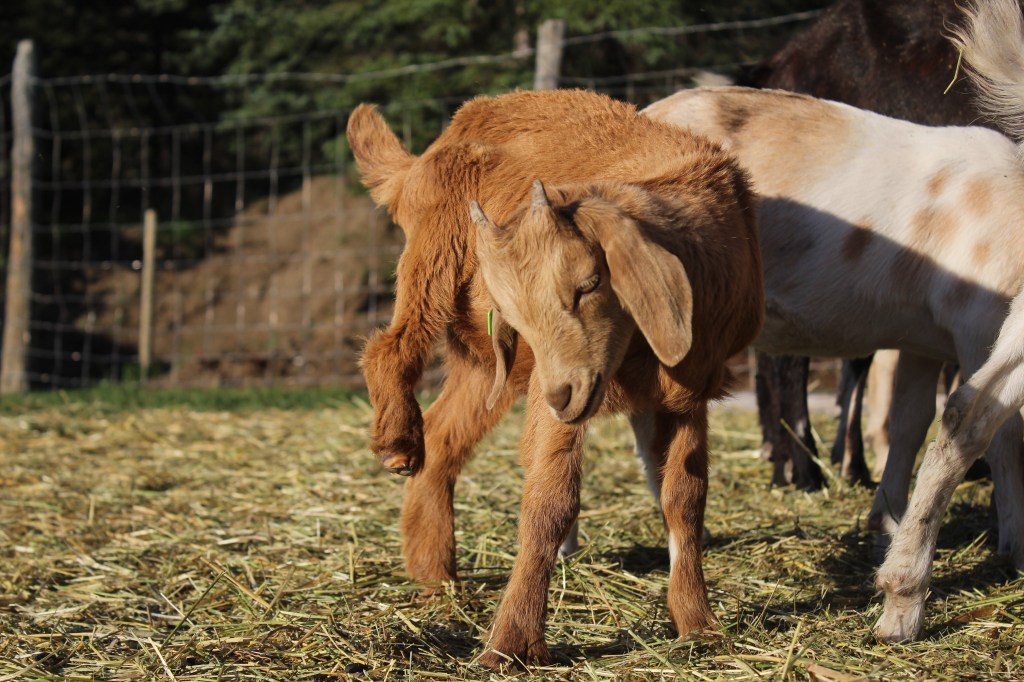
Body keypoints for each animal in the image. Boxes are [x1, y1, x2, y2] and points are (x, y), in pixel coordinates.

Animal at [472, 163, 761, 665]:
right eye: (513, 317)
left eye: (589, 284)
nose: (562, 396)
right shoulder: (555, 398)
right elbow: (549, 501)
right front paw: (510, 643)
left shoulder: (688, 389)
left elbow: (685, 497)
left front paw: (697, 623)